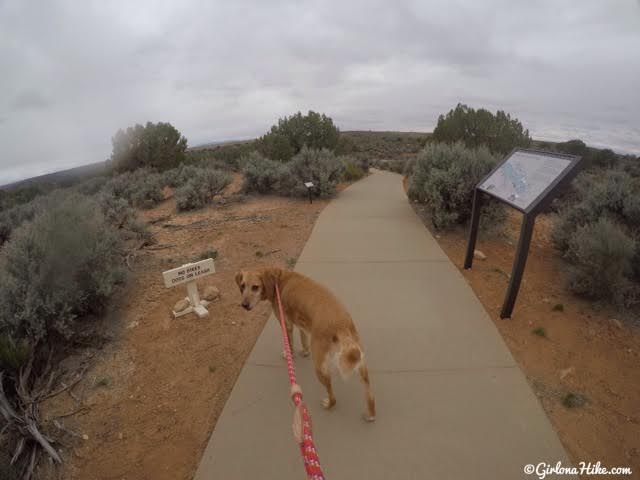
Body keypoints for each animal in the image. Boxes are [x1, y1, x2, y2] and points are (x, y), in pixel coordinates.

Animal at [235, 266, 376, 420]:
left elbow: (289, 345)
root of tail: (341, 324)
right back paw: (371, 414)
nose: (244, 305)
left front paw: (289, 355)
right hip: (359, 360)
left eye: (255, 287)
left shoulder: (286, 325)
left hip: (320, 367)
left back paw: (328, 404)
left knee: (333, 397)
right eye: (242, 286)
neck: (278, 279)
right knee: (369, 390)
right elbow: (303, 339)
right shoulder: (300, 323)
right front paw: (304, 352)